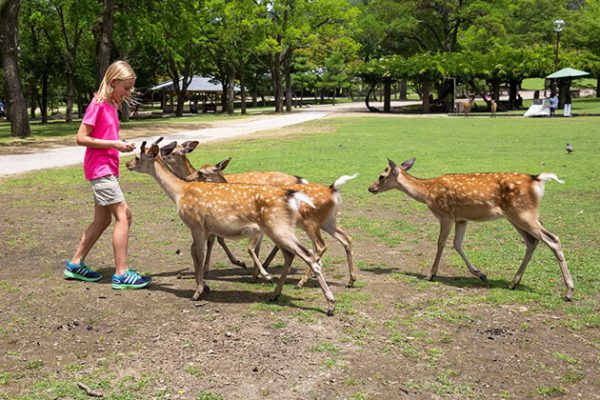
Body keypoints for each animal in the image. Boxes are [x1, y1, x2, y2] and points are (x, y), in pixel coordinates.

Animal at [125, 141, 338, 316]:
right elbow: (197, 252)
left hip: (279, 228)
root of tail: (293, 195)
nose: (127, 164)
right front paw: (205, 286)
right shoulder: (204, 228)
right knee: (291, 255)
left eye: (138, 156)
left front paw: (198, 292)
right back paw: (275, 293)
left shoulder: (196, 224)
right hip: (278, 229)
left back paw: (329, 303)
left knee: (309, 255)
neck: (179, 194)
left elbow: (198, 254)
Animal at [189, 156, 356, 288]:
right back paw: (350, 280)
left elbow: (250, 248)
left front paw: (264, 275)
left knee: (320, 246)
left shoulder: (257, 228)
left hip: (311, 223)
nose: (190, 181)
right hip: (328, 221)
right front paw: (255, 275)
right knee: (346, 238)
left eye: (201, 172)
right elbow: (254, 249)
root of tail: (333, 189)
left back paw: (301, 282)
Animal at [368, 158, 576, 302]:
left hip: (524, 213)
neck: (427, 193)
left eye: (381, 176)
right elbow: (457, 244)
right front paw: (481, 274)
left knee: (553, 239)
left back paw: (569, 292)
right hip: (517, 216)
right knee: (532, 241)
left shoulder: (446, 214)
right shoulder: (462, 218)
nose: (371, 188)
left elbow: (441, 243)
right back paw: (513, 283)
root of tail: (538, 180)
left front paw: (430, 274)